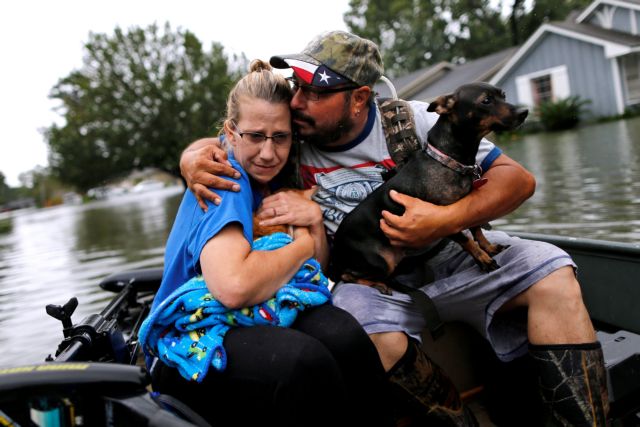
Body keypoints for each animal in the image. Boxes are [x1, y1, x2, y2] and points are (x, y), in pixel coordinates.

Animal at [328, 82, 528, 286]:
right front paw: (483, 259)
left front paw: (489, 248)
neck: (447, 160)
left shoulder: (466, 211)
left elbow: (477, 229)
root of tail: (336, 253)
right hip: (381, 263)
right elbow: (467, 240)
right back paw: (380, 285)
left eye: (503, 95)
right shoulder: (444, 221)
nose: (524, 112)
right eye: (486, 101)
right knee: (347, 276)